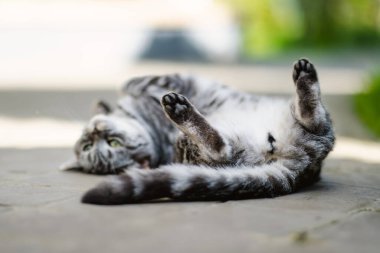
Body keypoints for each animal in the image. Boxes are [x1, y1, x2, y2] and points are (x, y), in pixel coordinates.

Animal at [62, 58, 336, 204]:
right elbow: (133, 81)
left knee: (312, 118)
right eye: (91, 145)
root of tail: (299, 168)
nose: (95, 131)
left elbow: (128, 83)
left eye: (111, 142)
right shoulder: (173, 79)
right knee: (221, 148)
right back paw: (179, 111)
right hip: (203, 147)